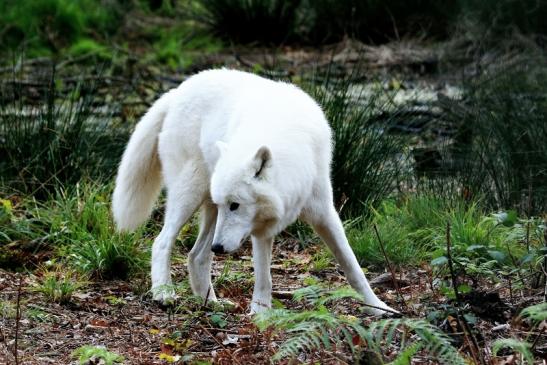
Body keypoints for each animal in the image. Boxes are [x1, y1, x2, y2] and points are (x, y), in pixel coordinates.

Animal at [112, 69, 394, 314]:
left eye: (235, 205)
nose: (218, 248)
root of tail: (176, 90)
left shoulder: (324, 213)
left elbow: (352, 266)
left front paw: (379, 308)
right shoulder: (260, 229)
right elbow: (264, 277)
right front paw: (260, 315)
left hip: (209, 210)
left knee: (196, 256)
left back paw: (212, 303)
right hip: (190, 196)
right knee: (161, 242)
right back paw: (164, 293)